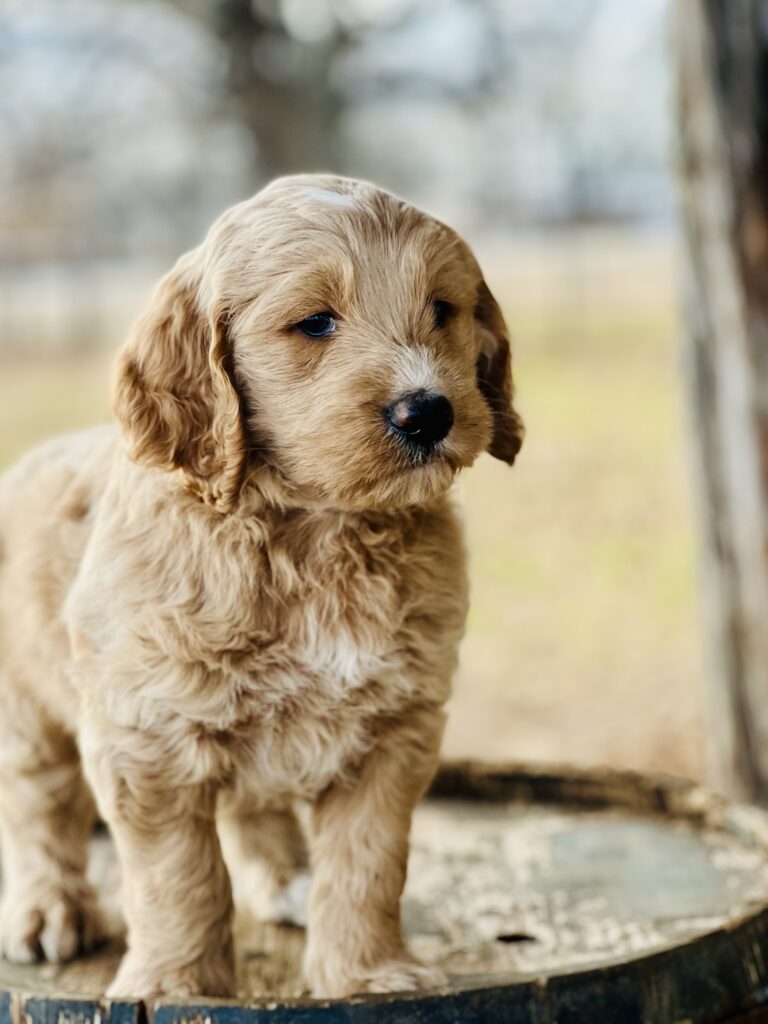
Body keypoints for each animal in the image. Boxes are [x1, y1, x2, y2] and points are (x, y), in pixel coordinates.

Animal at [0, 174, 524, 999]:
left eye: (442, 309)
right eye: (314, 323)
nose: (428, 411)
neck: (316, 534)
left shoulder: (395, 728)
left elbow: (369, 863)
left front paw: (367, 975)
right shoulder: (148, 734)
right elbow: (179, 878)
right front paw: (176, 987)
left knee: (252, 807)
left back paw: (288, 881)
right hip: (27, 705)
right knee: (38, 805)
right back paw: (50, 908)